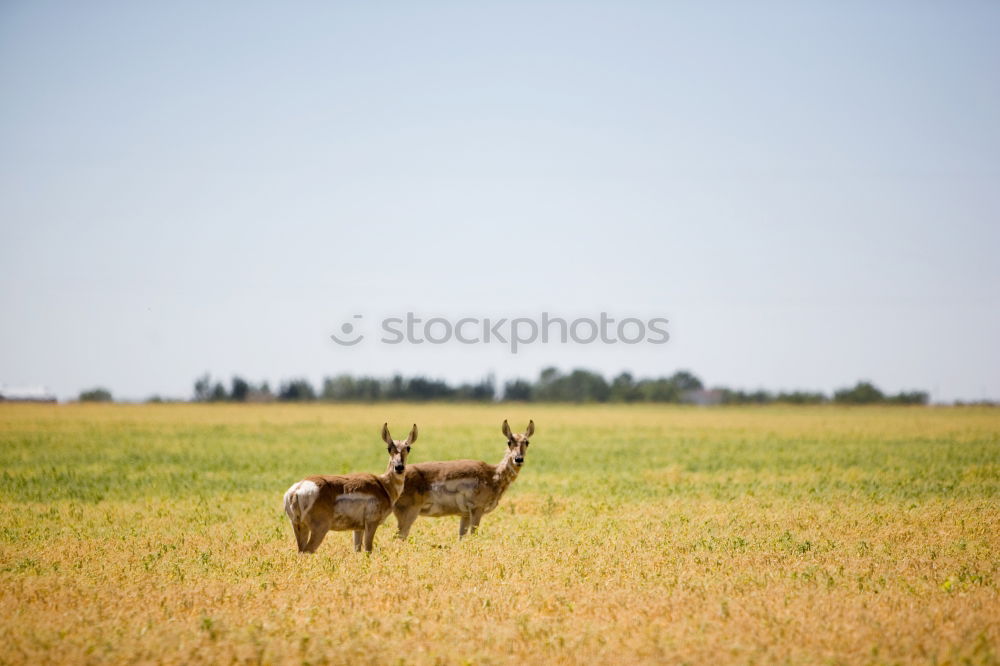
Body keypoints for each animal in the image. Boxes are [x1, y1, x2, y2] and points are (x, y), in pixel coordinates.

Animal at [284, 422, 416, 552]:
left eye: (408, 448)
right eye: (389, 448)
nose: (399, 467)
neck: (383, 485)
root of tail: (297, 490)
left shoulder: (358, 528)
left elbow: (357, 550)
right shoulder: (371, 523)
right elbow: (368, 549)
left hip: (299, 527)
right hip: (320, 528)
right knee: (307, 551)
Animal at [390, 418, 536, 536]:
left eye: (527, 442)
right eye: (509, 441)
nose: (518, 459)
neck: (492, 475)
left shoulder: (465, 515)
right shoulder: (477, 509)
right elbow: (473, 535)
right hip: (408, 514)